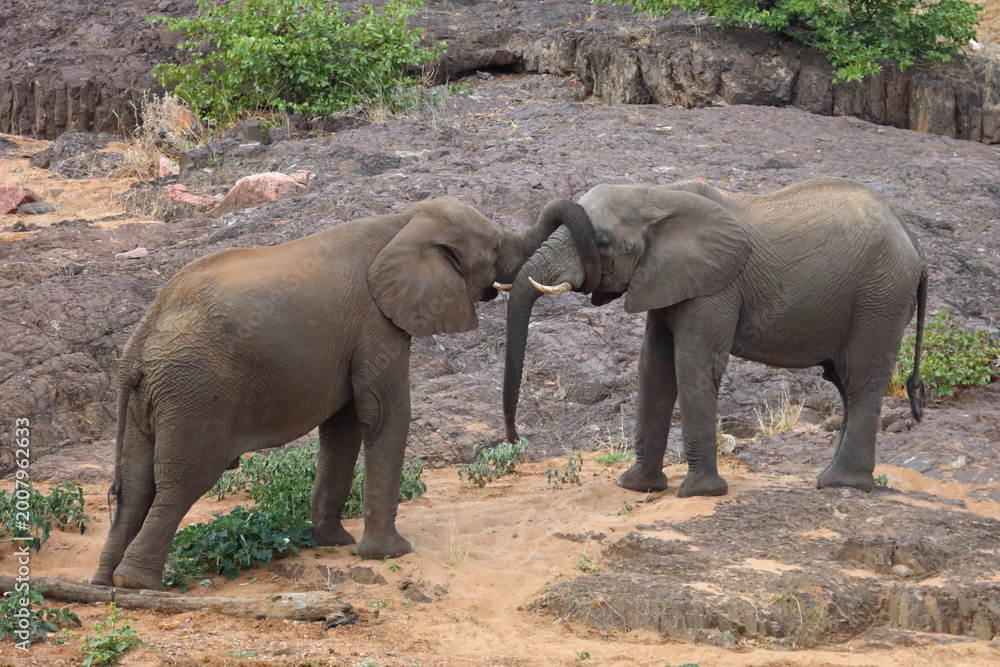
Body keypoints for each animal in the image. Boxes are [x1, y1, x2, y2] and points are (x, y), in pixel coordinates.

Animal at [93, 195, 599, 590]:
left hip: (148, 398)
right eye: (493, 248)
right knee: (183, 481)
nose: (514, 437)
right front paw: (390, 554)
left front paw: (334, 543)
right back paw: (137, 583)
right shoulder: (376, 322)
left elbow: (345, 425)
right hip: (194, 391)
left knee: (136, 485)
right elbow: (384, 414)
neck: (402, 220)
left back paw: (105, 583)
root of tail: (139, 341)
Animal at [502, 178, 926, 498]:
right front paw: (636, 487)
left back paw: (840, 483)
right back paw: (836, 479)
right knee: (843, 382)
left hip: (880, 298)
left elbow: (693, 363)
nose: (514, 440)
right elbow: (653, 367)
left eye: (602, 243)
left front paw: (699, 493)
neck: (656, 196)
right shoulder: (667, 280)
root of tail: (914, 244)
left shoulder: (717, 286)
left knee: (861, 379)